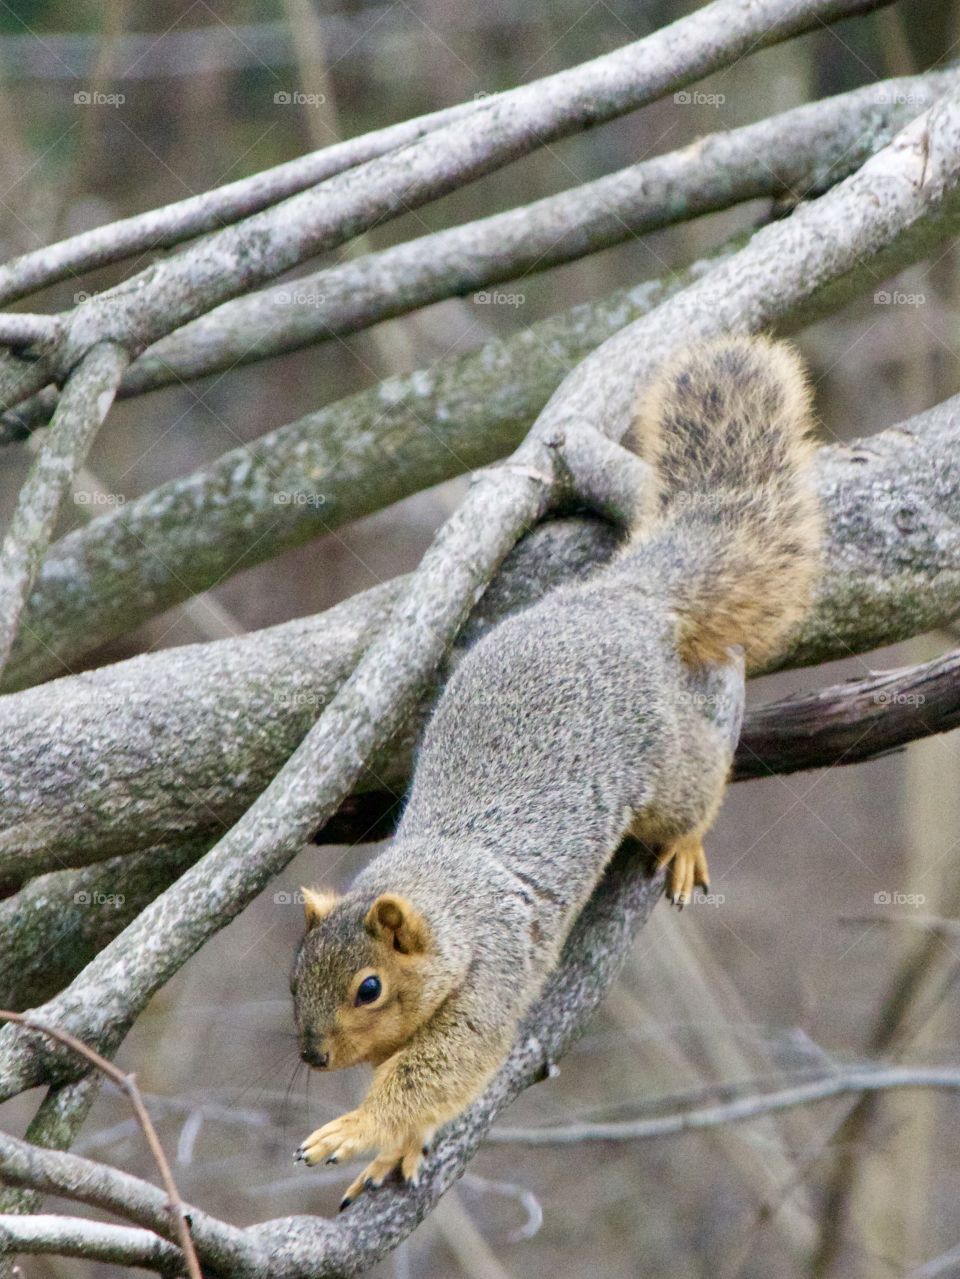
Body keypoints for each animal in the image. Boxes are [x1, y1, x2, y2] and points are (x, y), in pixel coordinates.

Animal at [290, 335, 822, 1208]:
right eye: (294, 972)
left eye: (369, 987)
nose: (310, 1055)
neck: (444, 897)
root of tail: (619, 598)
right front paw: (393, 1147)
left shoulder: (493, 976)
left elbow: (444, 1067)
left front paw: (358, 1127)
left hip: (661, 759)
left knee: (692, 789)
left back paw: (685, 844)